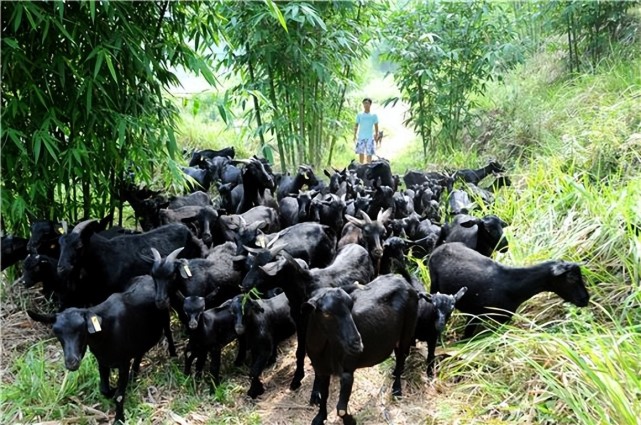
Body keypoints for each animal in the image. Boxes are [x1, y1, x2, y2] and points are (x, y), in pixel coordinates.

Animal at [430, 242, 592, 338]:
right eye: (571, 278)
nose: (585, 299)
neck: (512, 285)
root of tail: (441, 246)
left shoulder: (505, 318)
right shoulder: (474, 314)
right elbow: (467, 337)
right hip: (433, 283)